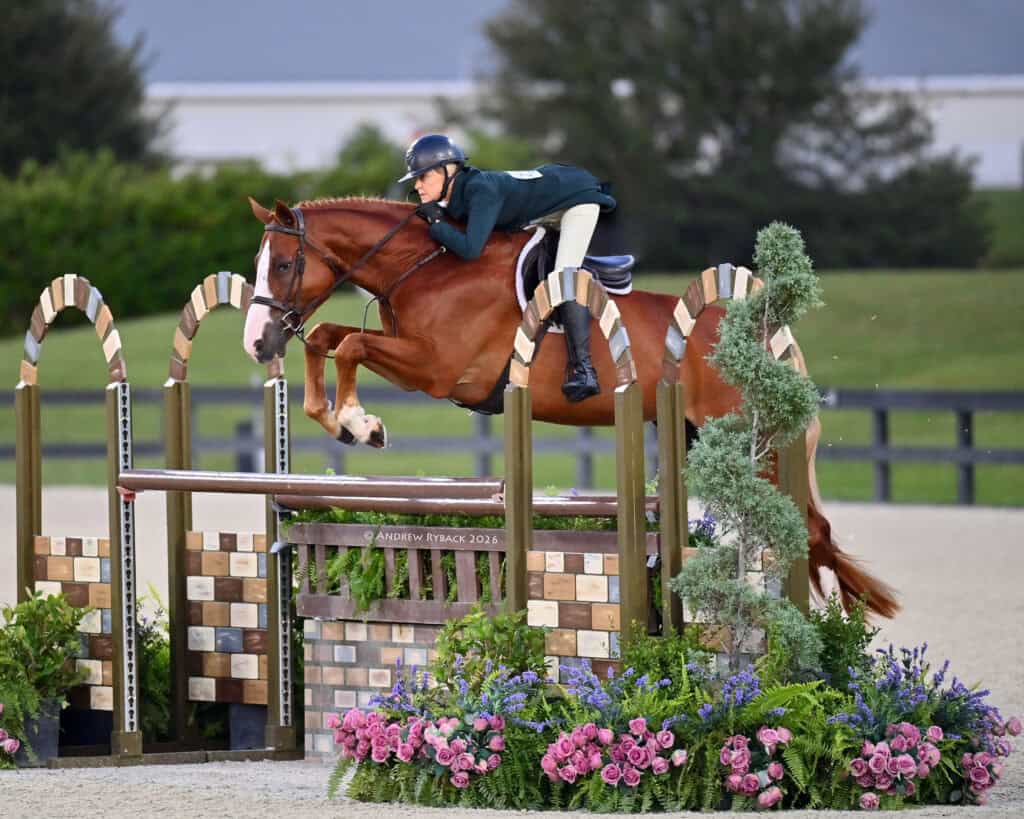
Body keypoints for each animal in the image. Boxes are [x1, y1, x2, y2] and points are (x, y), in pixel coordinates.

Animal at [242, 196, 899, 619]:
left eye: (284, 264)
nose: (257, 344)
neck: (425, 268)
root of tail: (763, 339)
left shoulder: (437, 368)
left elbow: (349, 343)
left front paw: (361, 423)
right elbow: (326, 336)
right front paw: (336, 418)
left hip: (753, 446)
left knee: (805, 530)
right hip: (702, 437)